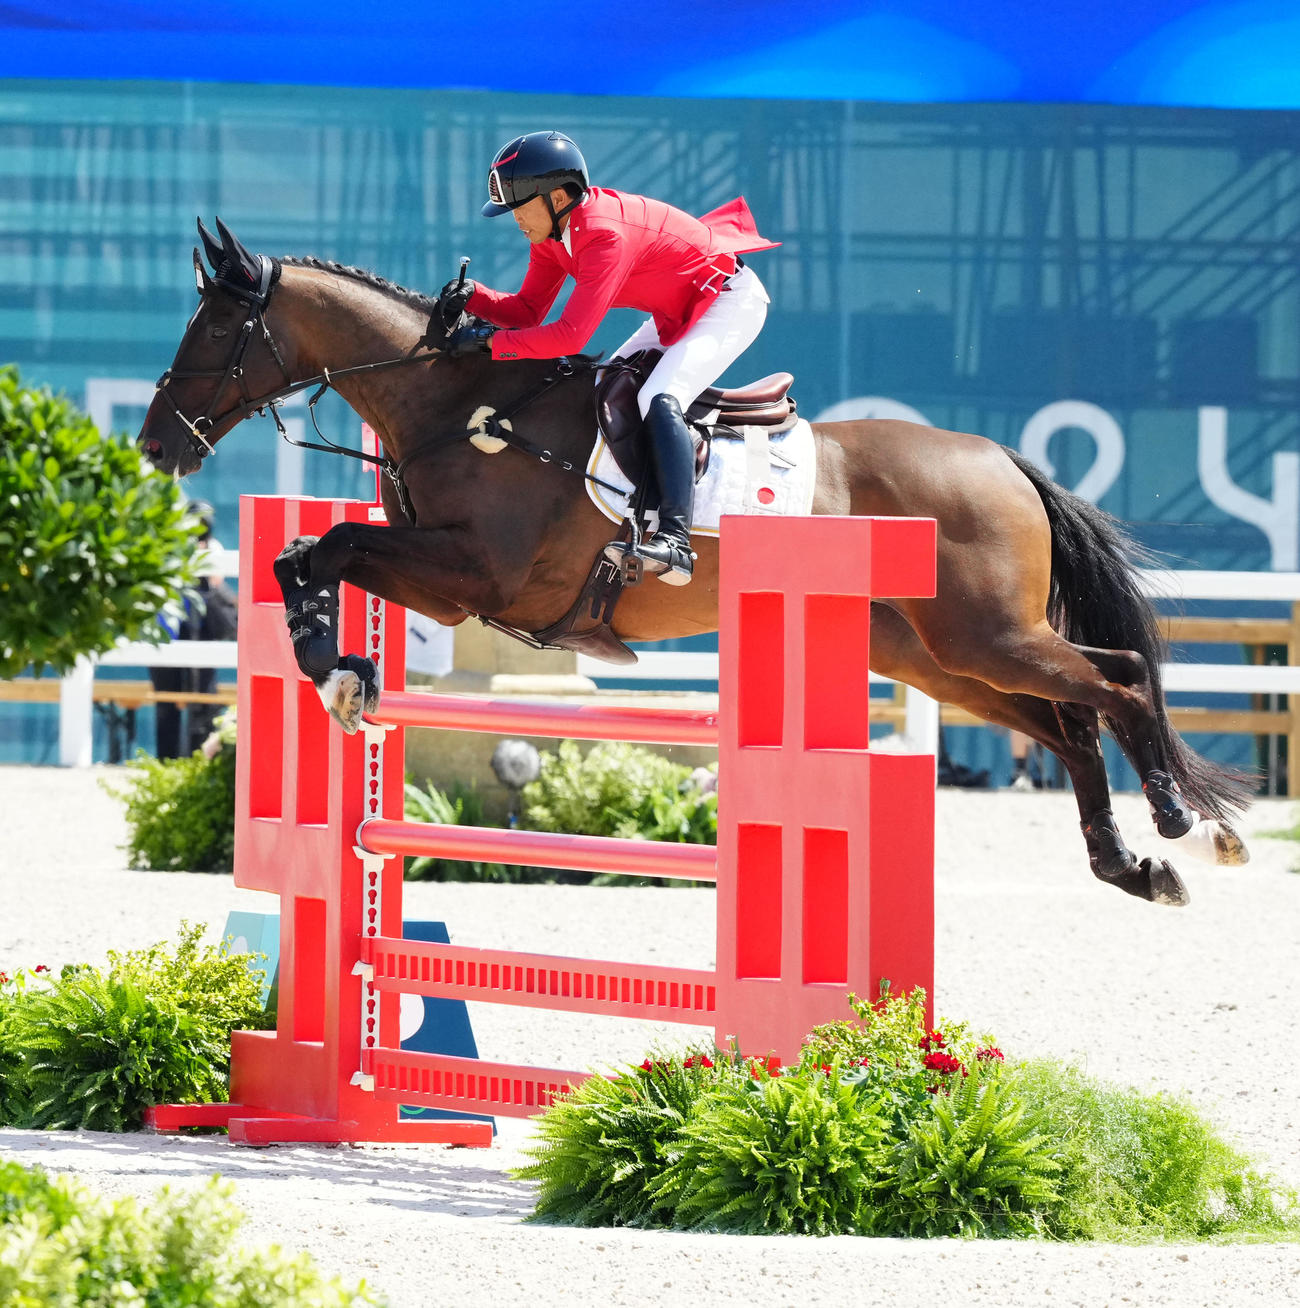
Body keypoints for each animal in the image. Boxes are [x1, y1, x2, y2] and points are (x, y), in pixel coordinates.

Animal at [138, 218, 1253, 908]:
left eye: (219, 323)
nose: (156, 444)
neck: (461, 408)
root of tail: (1003, 460)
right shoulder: (450, 584)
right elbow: (306, 553)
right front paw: (341, 669)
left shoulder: (476, 579)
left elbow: (325, 545)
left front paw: (335, 670)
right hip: (937, 657)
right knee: (1068, 726)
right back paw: (1130, 864)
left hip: (990, 634)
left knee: (1119, 679)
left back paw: (1180, 819)